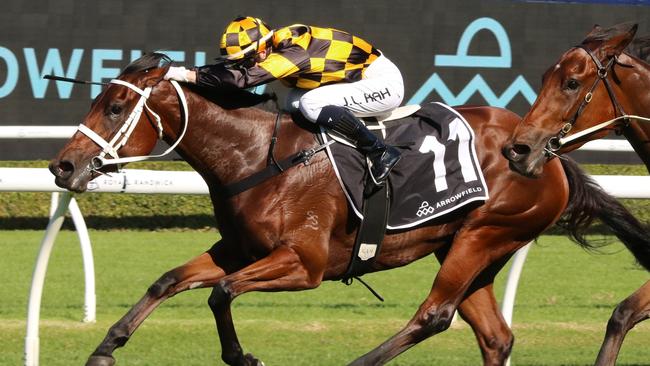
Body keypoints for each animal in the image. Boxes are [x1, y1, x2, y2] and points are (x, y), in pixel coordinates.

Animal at [49, 52, 636, 366]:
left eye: (115, 107)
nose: (62, 166)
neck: (255, 157)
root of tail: (548, 154)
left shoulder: (304, 264)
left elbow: (221, 294)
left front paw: (243, 355)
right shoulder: (239, 249)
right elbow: (168, 280)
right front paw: (106, 347)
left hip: (484, 234)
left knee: (434, 314)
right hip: (471, 247)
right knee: (495, 336)